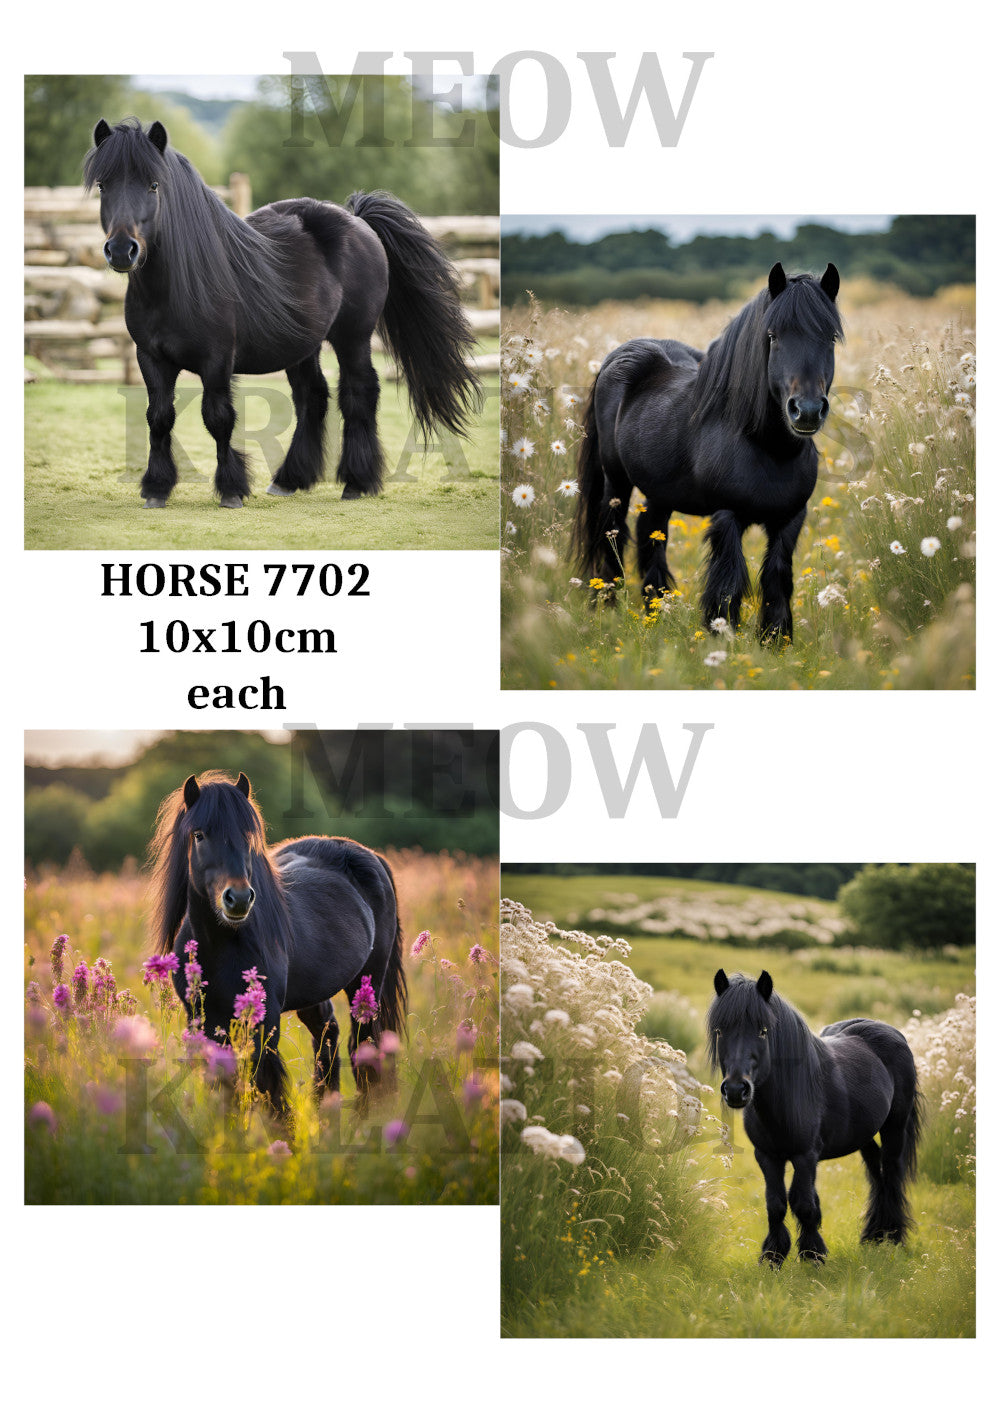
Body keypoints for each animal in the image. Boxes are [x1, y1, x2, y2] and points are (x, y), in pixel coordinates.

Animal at [84, 118, 482, 508]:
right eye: (103, 185)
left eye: (154, 185)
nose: (121, 250)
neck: (176, 286)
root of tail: (358, 221)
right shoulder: (150, 358)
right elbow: (159, 418)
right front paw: (156, 488)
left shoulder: (217, 360)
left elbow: (218, 418)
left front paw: (231, 490)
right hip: (302, 347)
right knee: (312, 397)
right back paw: (290, 479)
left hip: (353, 337)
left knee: (359, 393)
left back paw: (356, 482)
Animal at [147, 770, 407, 1121]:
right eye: (199, 835)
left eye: (248, 835)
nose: (239, 898)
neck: (221, 944)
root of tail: (370, 856)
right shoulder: (205, 1023)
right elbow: (227, 1089)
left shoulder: (264, 1022)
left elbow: (268, 1091)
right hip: (315, 992)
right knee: (327, 1035)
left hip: (367, 986)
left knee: (363, 1045)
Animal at [572, 263, 842, 642]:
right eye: (773, 336)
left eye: (830, 338)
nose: (806, 411)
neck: (768, 447)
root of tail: (618, 356)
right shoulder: (727, 517)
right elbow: (728, 582)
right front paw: (720, 637)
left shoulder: (790, 520)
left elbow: (776, 579)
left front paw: (775, 641)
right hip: (616, 483)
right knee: (613, 537)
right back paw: (607, 610)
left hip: (659, 493)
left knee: (651, 532)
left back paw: (655, 613)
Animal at [708, 970, 922, 1266]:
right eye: (720, 1031)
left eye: (763, 1031)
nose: (737, 1090)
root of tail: (891, 1032)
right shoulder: (767, 1156)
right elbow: (775, 1204)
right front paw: (773, 1257)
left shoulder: (805, 1156)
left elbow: (803, 1204)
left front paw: (813, 1255)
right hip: (863, 1134)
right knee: (876, 1171)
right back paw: (873, 1235)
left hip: (895, 1128)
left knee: (891, 1173)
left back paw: (893, 1237)